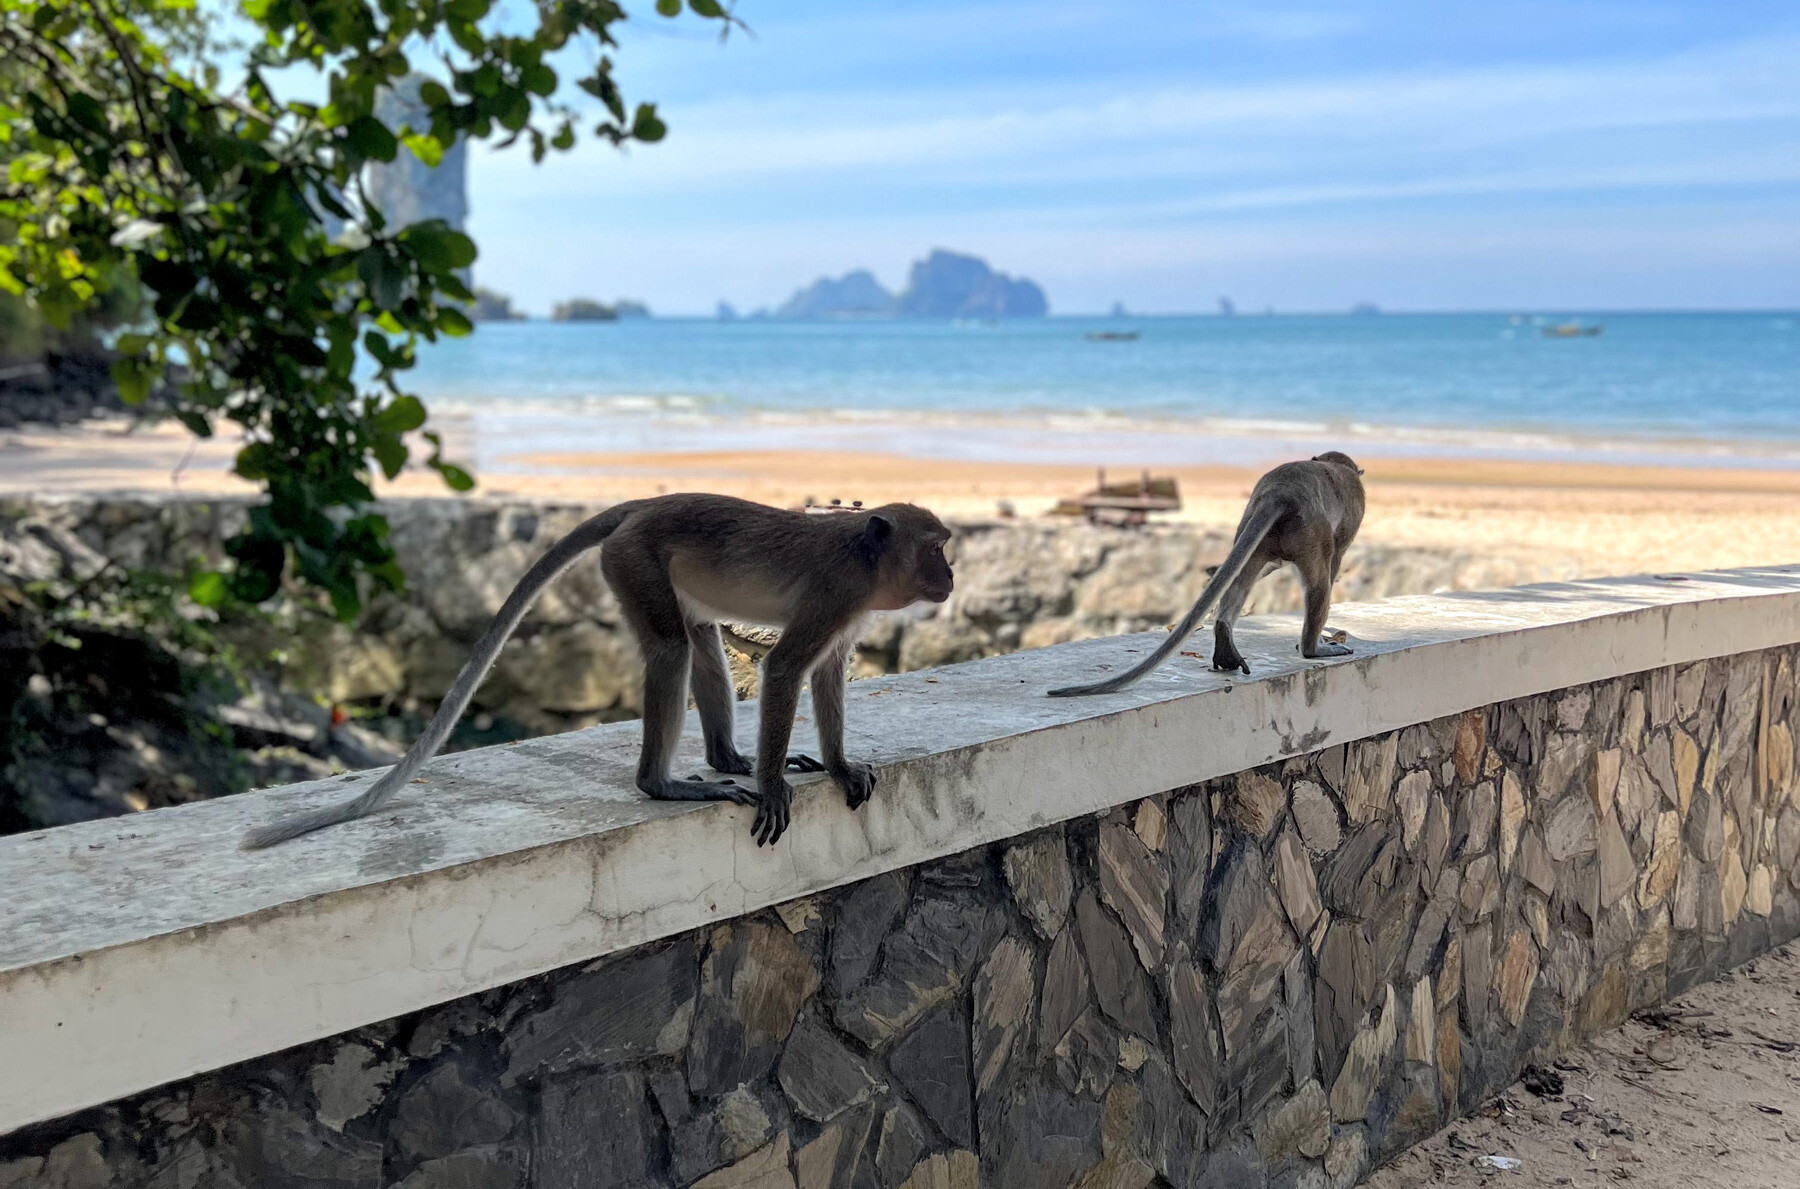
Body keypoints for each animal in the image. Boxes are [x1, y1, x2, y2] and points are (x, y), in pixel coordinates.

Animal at [246, 492, 964, 852]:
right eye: (936, 548)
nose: (952, 576)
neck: (864, 559)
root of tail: (638, 507)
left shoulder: (849, 610)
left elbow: (827, 674)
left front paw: (838, 765)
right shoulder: (837, 592)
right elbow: (788, 668)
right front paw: (771, 787)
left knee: (698, 641)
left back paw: (725, 758)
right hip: (632, 558)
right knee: (673, 649)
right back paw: (662, 784)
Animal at [1051, 451, 1353, 694]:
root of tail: (1280, 495)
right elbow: (1334, 562)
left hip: (1259, 525)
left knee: (1240, 580)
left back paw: (1224, 639)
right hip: (1311, 534)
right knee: (1318, 586)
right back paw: (1313, 649)